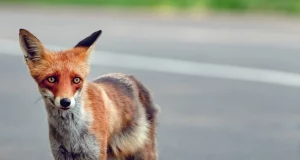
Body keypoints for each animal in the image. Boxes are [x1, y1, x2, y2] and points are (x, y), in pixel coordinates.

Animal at [18, 28, 159, 160]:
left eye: (76, 80)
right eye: (51, 79)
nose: (65, 102)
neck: (72, 136)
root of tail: (131, 77)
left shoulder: (95, 153)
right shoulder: (61, 155)